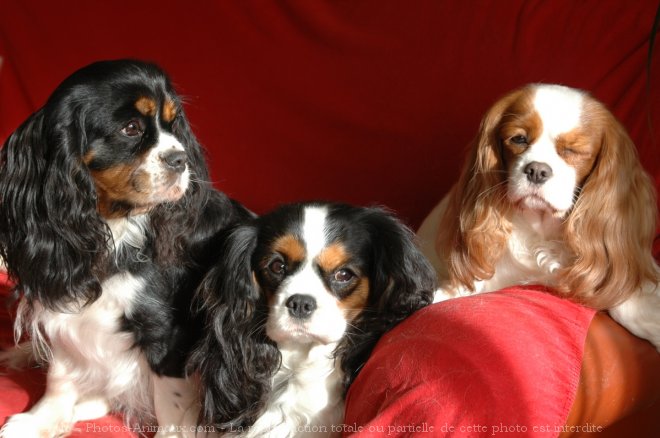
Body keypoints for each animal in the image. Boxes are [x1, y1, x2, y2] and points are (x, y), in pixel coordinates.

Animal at [0, 59, 251, 438]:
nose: (180, 159)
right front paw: (41, 419)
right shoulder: (67, 303)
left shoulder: (167, 331)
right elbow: (60, 375)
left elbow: (170, 399)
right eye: (130, 129)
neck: (111, 225)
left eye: (173, 124)